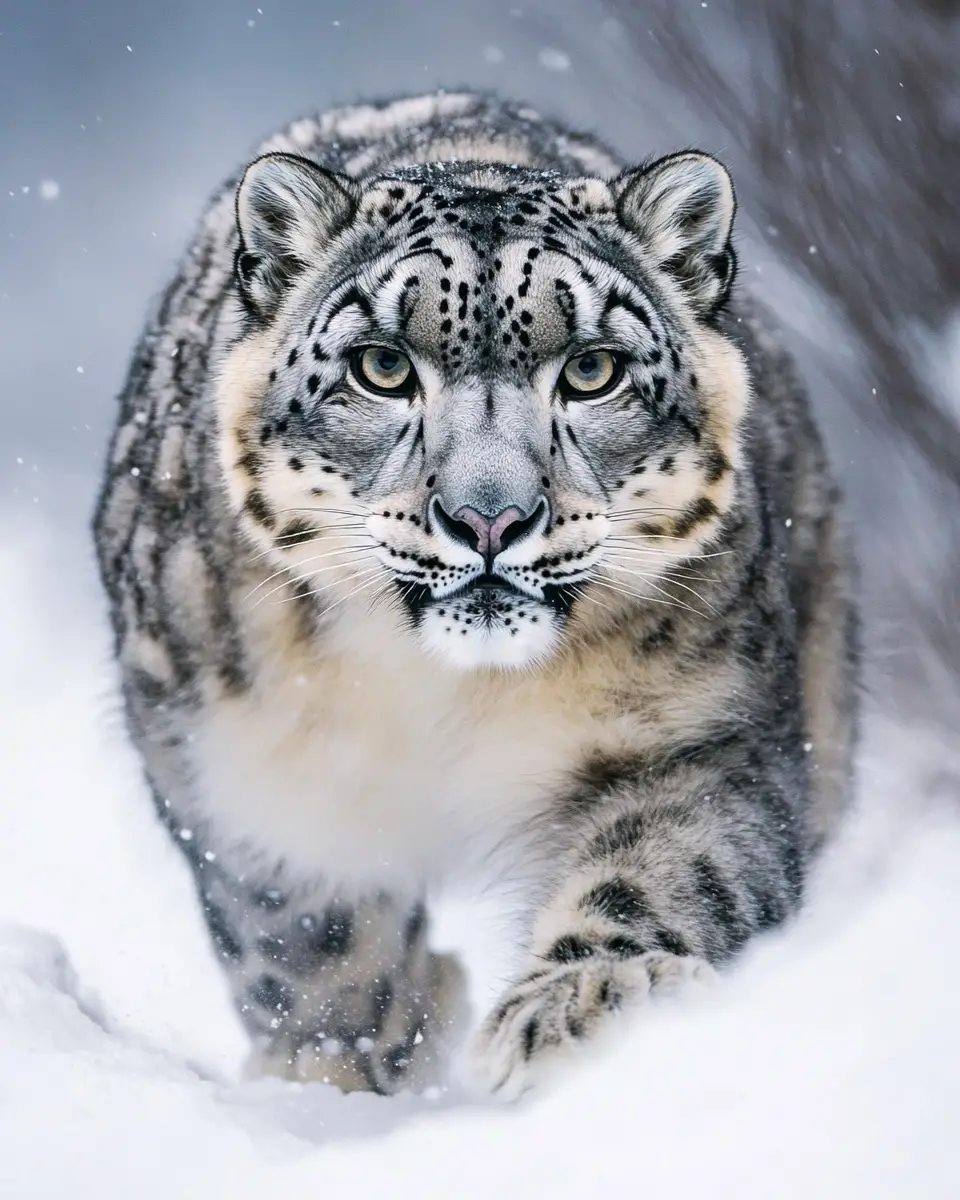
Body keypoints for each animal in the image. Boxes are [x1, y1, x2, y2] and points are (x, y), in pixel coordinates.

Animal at [93, 91, 857, 1101]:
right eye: (381, 366)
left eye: (592, 371)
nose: (488, 518)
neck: (446, 691)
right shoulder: (239, 759)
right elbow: (301, 924)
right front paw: (340, 1059)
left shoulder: (697, 729)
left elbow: (668, 862)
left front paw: (583, 1003)